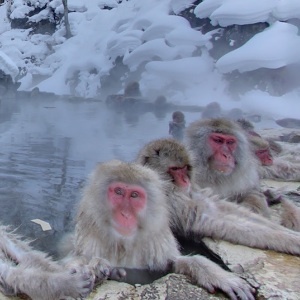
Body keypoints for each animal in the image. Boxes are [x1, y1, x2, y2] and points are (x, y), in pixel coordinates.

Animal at [137, 138, 300, 255]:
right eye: (175, 169)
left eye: (185, 168)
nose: (185, 180)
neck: (169, 186)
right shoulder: (170, 201)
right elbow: (214, 220)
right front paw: (291, 241)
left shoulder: (190, 190)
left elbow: (220, 206)